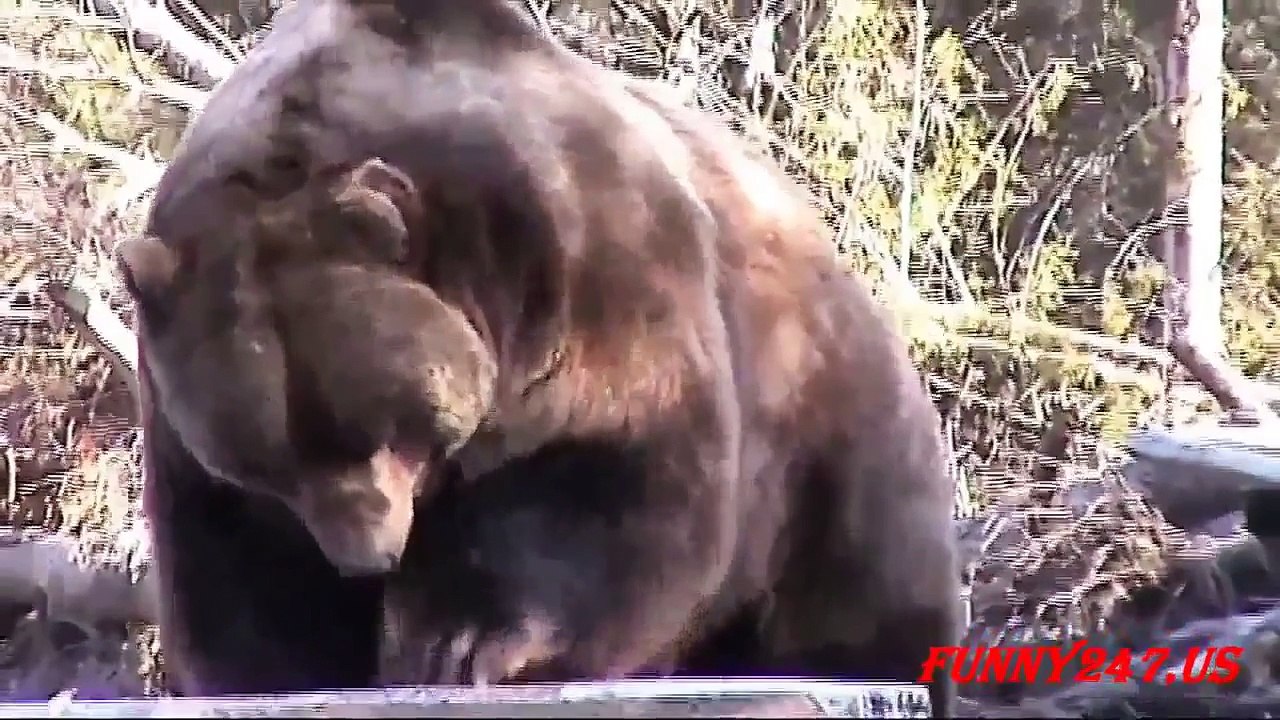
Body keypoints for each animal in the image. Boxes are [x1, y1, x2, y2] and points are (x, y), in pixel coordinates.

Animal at [116, 0, 961, 714]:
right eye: (269, 461)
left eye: (381, 426)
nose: (366, 557)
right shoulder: (189, 420)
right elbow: (237, 567)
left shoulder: (586, 268)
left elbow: (607, 468)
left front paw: (457, 642)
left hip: (829, 441)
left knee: (868, 592)